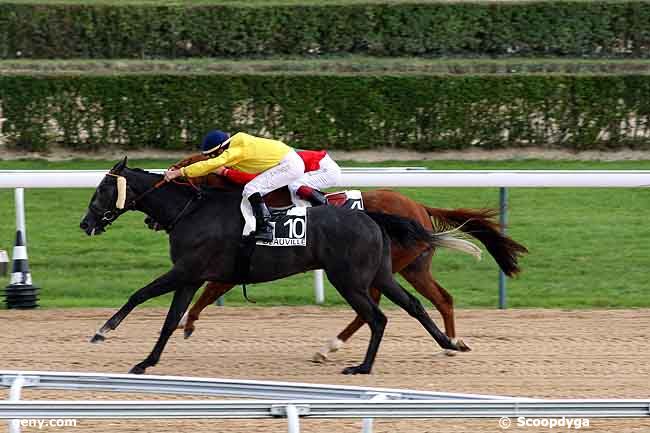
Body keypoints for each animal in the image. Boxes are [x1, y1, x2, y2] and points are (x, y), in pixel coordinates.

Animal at [78, 157, 468, 372]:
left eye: (102, 190)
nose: (85, 223)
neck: (191, 210)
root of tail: (372, 217)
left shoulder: (186, 271)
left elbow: (139, 295)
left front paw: (102, 331)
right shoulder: (191, 276)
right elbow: (171, 320)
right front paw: (147, 362)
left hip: (350, 279)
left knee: (377, 316)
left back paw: (361, 366)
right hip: (383, 273)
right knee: (414, 304)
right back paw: (449, 343)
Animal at [162, 154, 528, 360]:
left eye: (184, 167)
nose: (168, 173)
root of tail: (420, 208)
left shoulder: (241, 259)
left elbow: (209, 289)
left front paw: (186, 322)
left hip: (380, 266)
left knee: (374, 306)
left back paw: (330, 347)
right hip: (412, 267)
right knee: (442, 298)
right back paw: (452, 342)